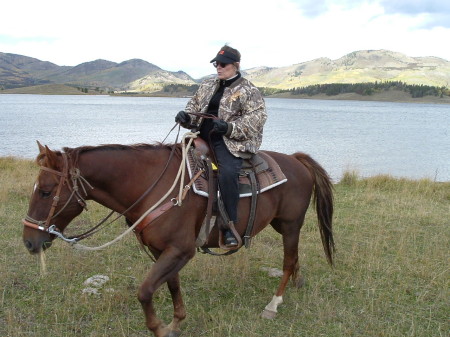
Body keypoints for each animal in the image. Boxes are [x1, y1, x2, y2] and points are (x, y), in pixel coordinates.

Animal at [22, 137, 334, 336]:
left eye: (46, 192)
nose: (29, 241)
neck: (153, 186)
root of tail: (295, 160)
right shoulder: (163, 250)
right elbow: (171, 284)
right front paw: (176, 323)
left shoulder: (181, 250)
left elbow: (145, 291)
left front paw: (160, 328)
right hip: (284, 225)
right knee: (294, 258)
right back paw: (297, 283)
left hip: (290, 225)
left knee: (288, 261)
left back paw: (273, 304)